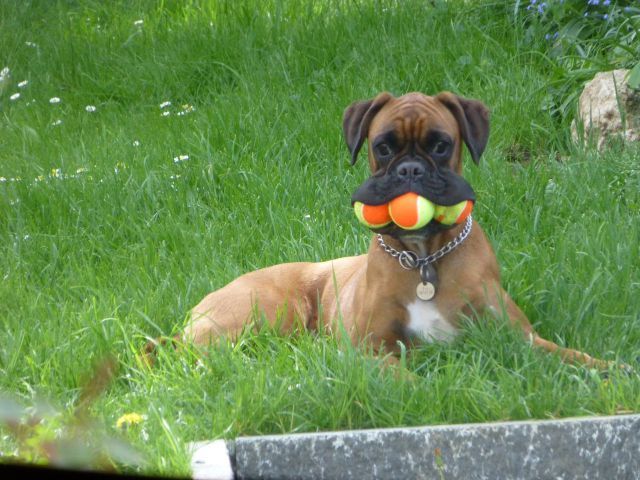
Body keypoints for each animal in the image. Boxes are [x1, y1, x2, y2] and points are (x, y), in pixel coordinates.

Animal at [179, 90, 604, 368]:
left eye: (440, 146)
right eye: (383, 147)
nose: (409, 170)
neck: (424, 259)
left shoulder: (520, 338)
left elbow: (572, 356)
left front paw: (609, 373)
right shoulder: (371, 349)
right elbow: (403, 378)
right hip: (274, 310)